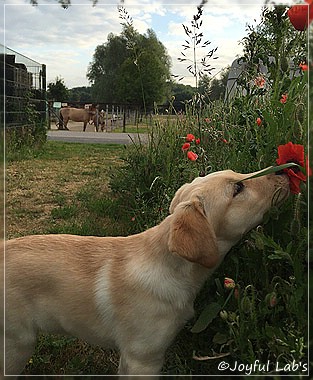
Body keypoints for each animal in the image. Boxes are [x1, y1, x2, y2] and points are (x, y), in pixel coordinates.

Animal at [0, 169, 288, 378]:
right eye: (238, 188)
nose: (285, 172)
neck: (170, 266)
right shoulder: (144, 358)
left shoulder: (130, 359)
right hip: (17, 344)